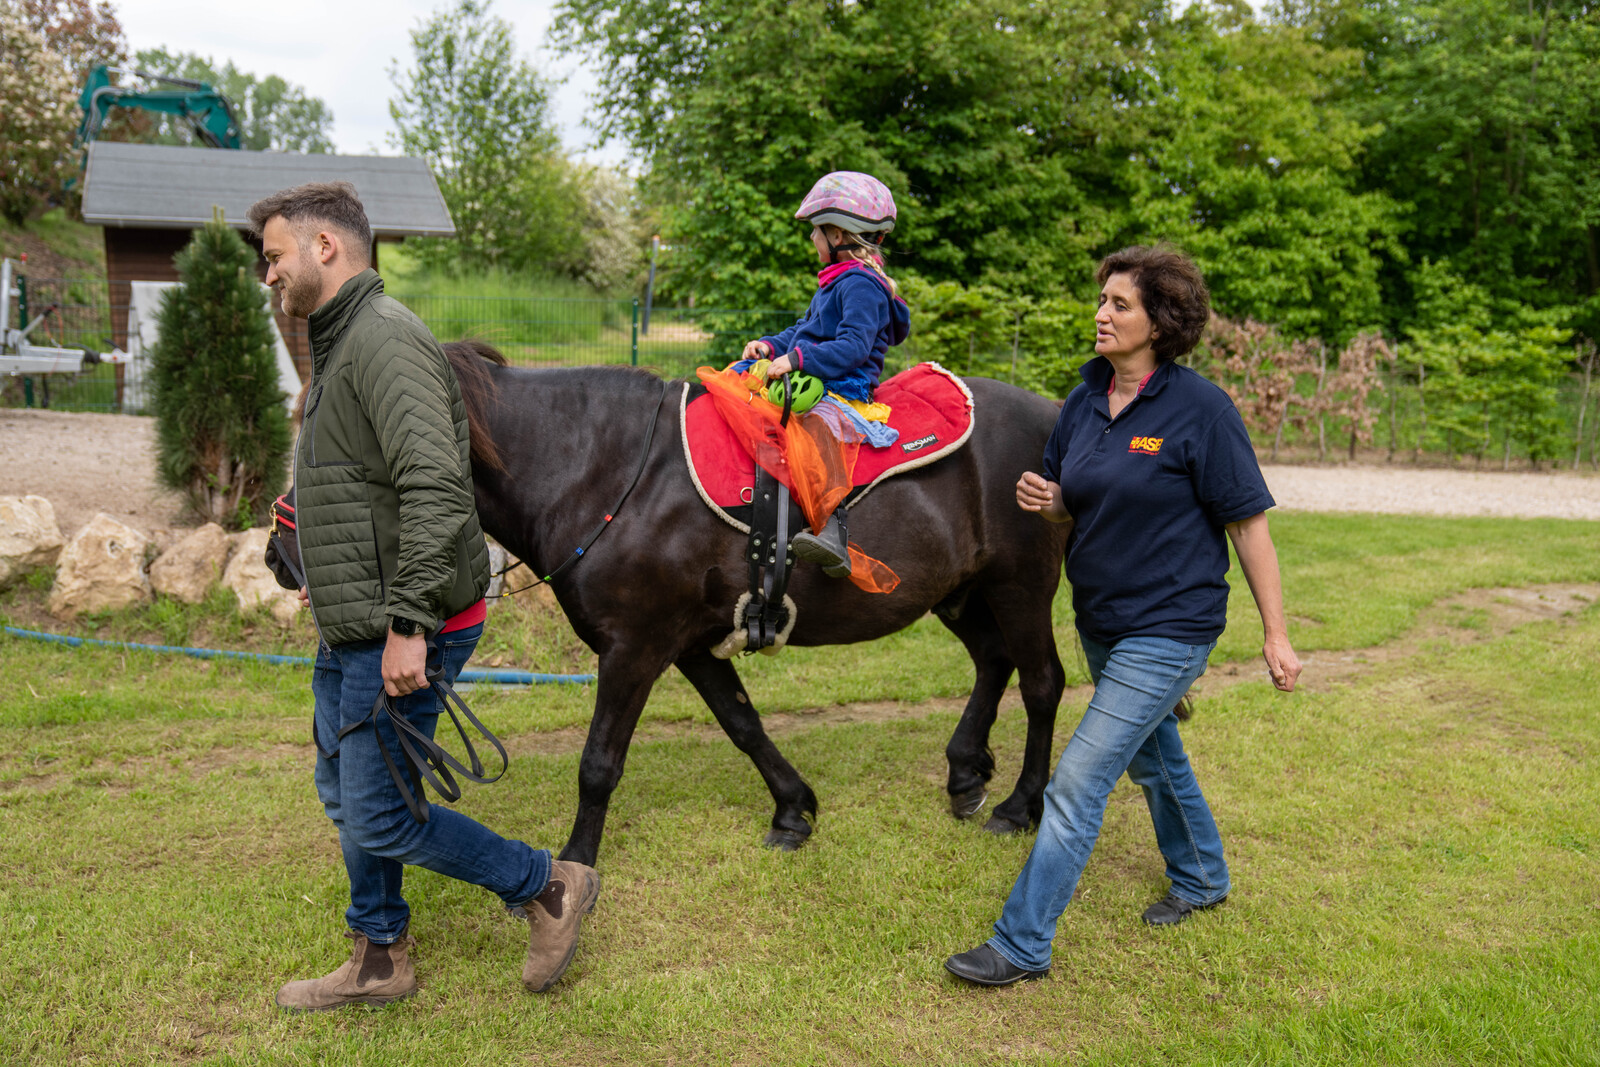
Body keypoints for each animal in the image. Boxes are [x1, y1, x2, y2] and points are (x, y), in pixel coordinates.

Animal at [441, 347, 1075, 870]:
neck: (605, 472)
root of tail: (1053, 413)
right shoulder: (693, 644)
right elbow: (743, 723)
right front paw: (793, 811)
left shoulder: (633, 647)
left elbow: (599, 762)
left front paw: (575, 865)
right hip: (964, 593)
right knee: (994, 661)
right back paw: (966, 772)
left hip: (1021, 586)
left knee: (1043, 683)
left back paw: (1020, 806)